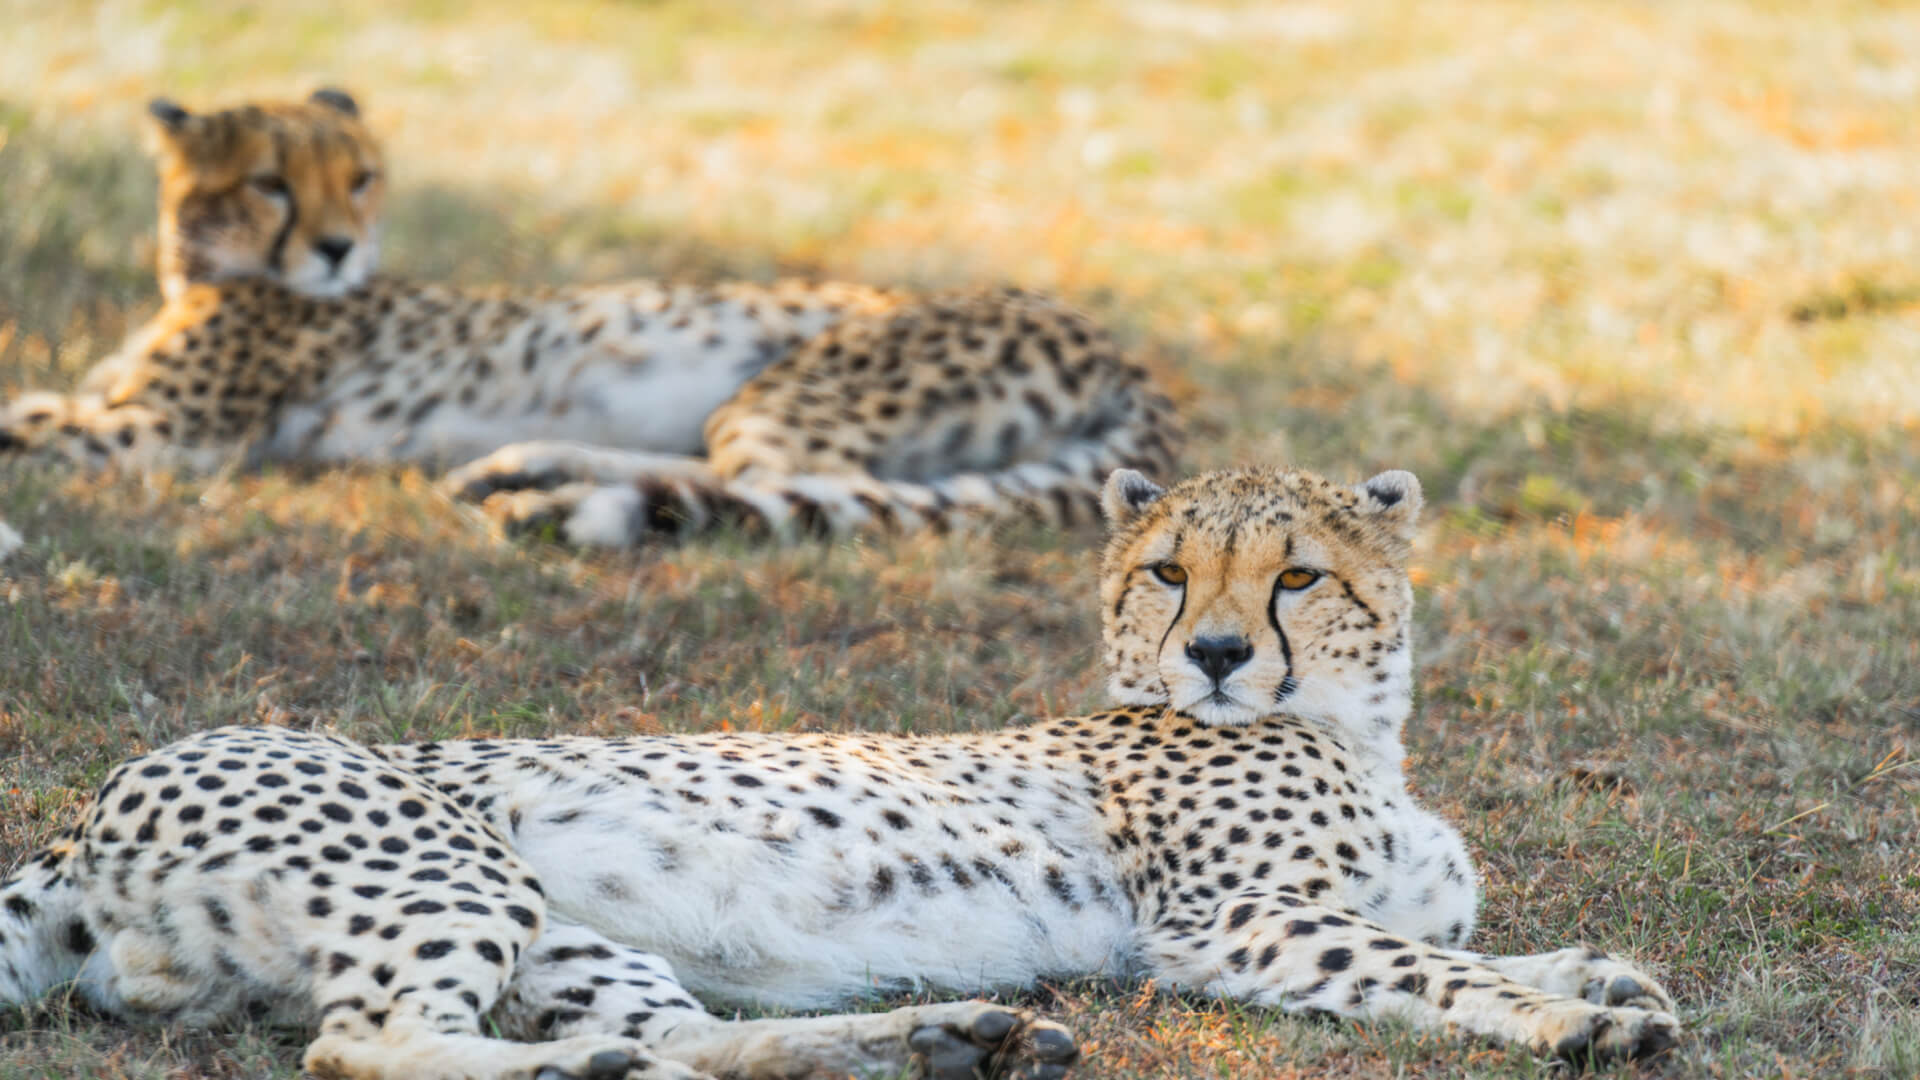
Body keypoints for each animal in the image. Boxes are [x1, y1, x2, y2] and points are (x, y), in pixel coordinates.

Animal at [0, 91, 1180, 549]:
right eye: (270, 184)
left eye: (361, 177)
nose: (337, 248)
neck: (194, 272)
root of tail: (1127, 350)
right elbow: (33, 402)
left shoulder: (169, 435)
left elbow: (20, 426)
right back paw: (528, 471)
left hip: (785, 395)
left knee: (789, 490)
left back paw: (567, 499)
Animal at [0, 464, 1679, 1079]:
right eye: (1166, 572)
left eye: (1297, 577)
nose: (1213, 654)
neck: (1352, 728)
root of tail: (76, 833)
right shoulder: (1235, 930)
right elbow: (1432, 970)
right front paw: (1577, 1017)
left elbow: (1465, 944)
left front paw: (1596, 972)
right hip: (442, 866)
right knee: (365, 1044)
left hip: (568, 936)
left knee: (678, 1045)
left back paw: (933, 1040)